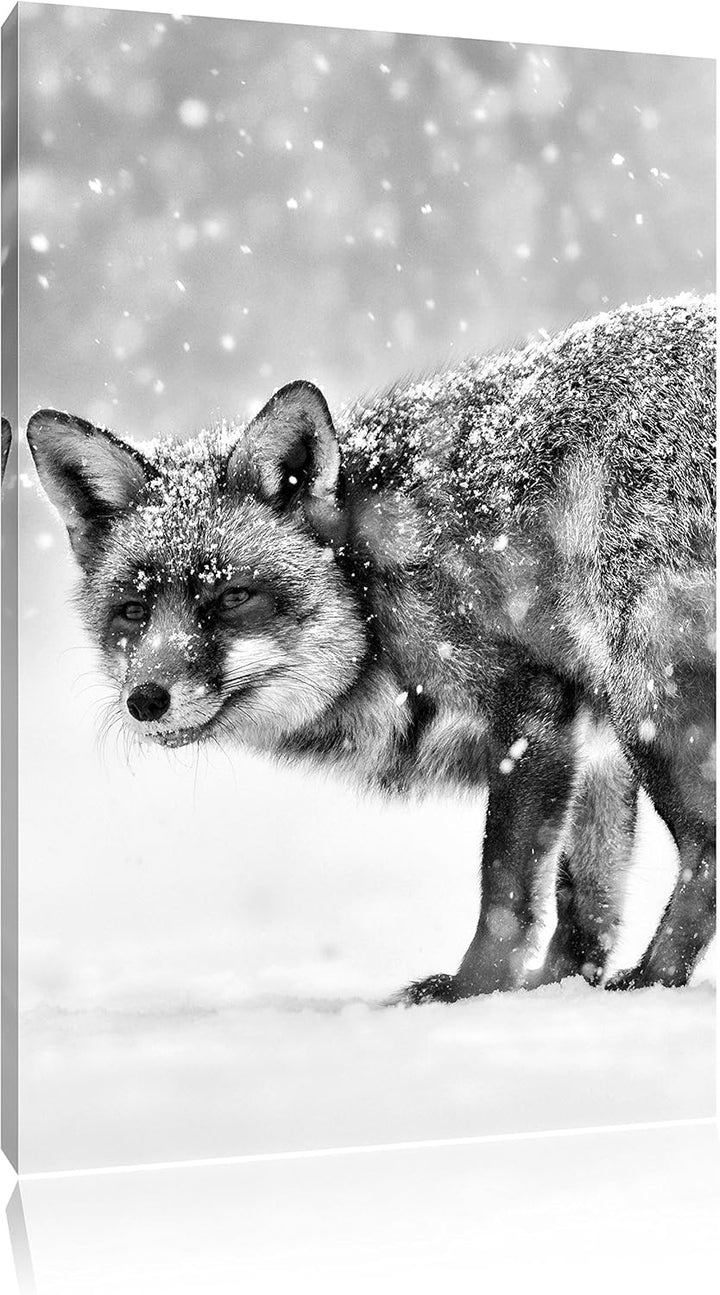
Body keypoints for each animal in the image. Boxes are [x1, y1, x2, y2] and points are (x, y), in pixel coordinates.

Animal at [26, 293, 716, 1002]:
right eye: (133, 611)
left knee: (706, 848)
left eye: (232, 597)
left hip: (645, 697)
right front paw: (554, 992)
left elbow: (505, 888)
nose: (146, 699)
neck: (374, 585)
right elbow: (586, 895)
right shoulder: (591, 738)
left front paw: (471, 993)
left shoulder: (532, 711)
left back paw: (656, 982)